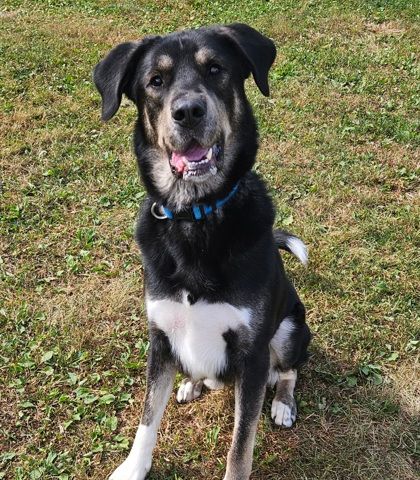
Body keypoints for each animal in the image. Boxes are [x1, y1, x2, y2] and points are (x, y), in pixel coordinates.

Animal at [95, 22, 312, 480]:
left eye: (215, 69)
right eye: (155, 81)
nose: (189, 112)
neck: (195, 215)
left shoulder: (252, 355)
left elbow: (241, 444)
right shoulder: (160, 339)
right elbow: (147, 417)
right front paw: (133, 467)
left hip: (290, 328)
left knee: (289, 370)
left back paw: (283, 404)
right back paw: (192, 383)